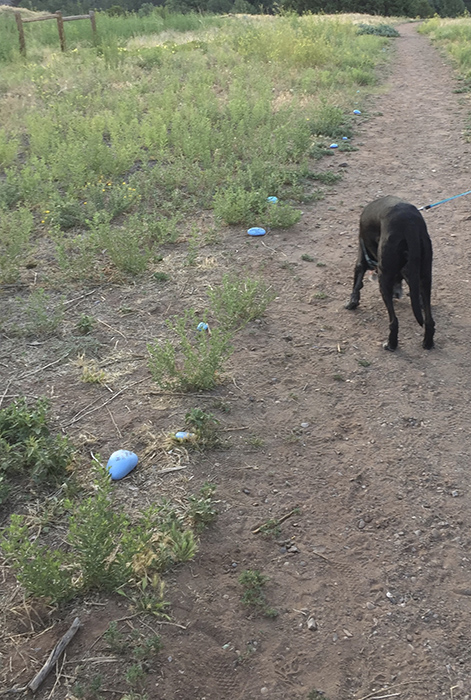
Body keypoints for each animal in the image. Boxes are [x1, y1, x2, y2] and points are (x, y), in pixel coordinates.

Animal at [346, 196, 436, 350]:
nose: (397, 294)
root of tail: (409, 223)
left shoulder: (361, 259)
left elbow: (357, 283)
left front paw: (352, 302)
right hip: (425, 275)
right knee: (429, 321)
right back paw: (427, 343)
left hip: (384, 278)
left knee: (394, 322)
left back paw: (391, 344)